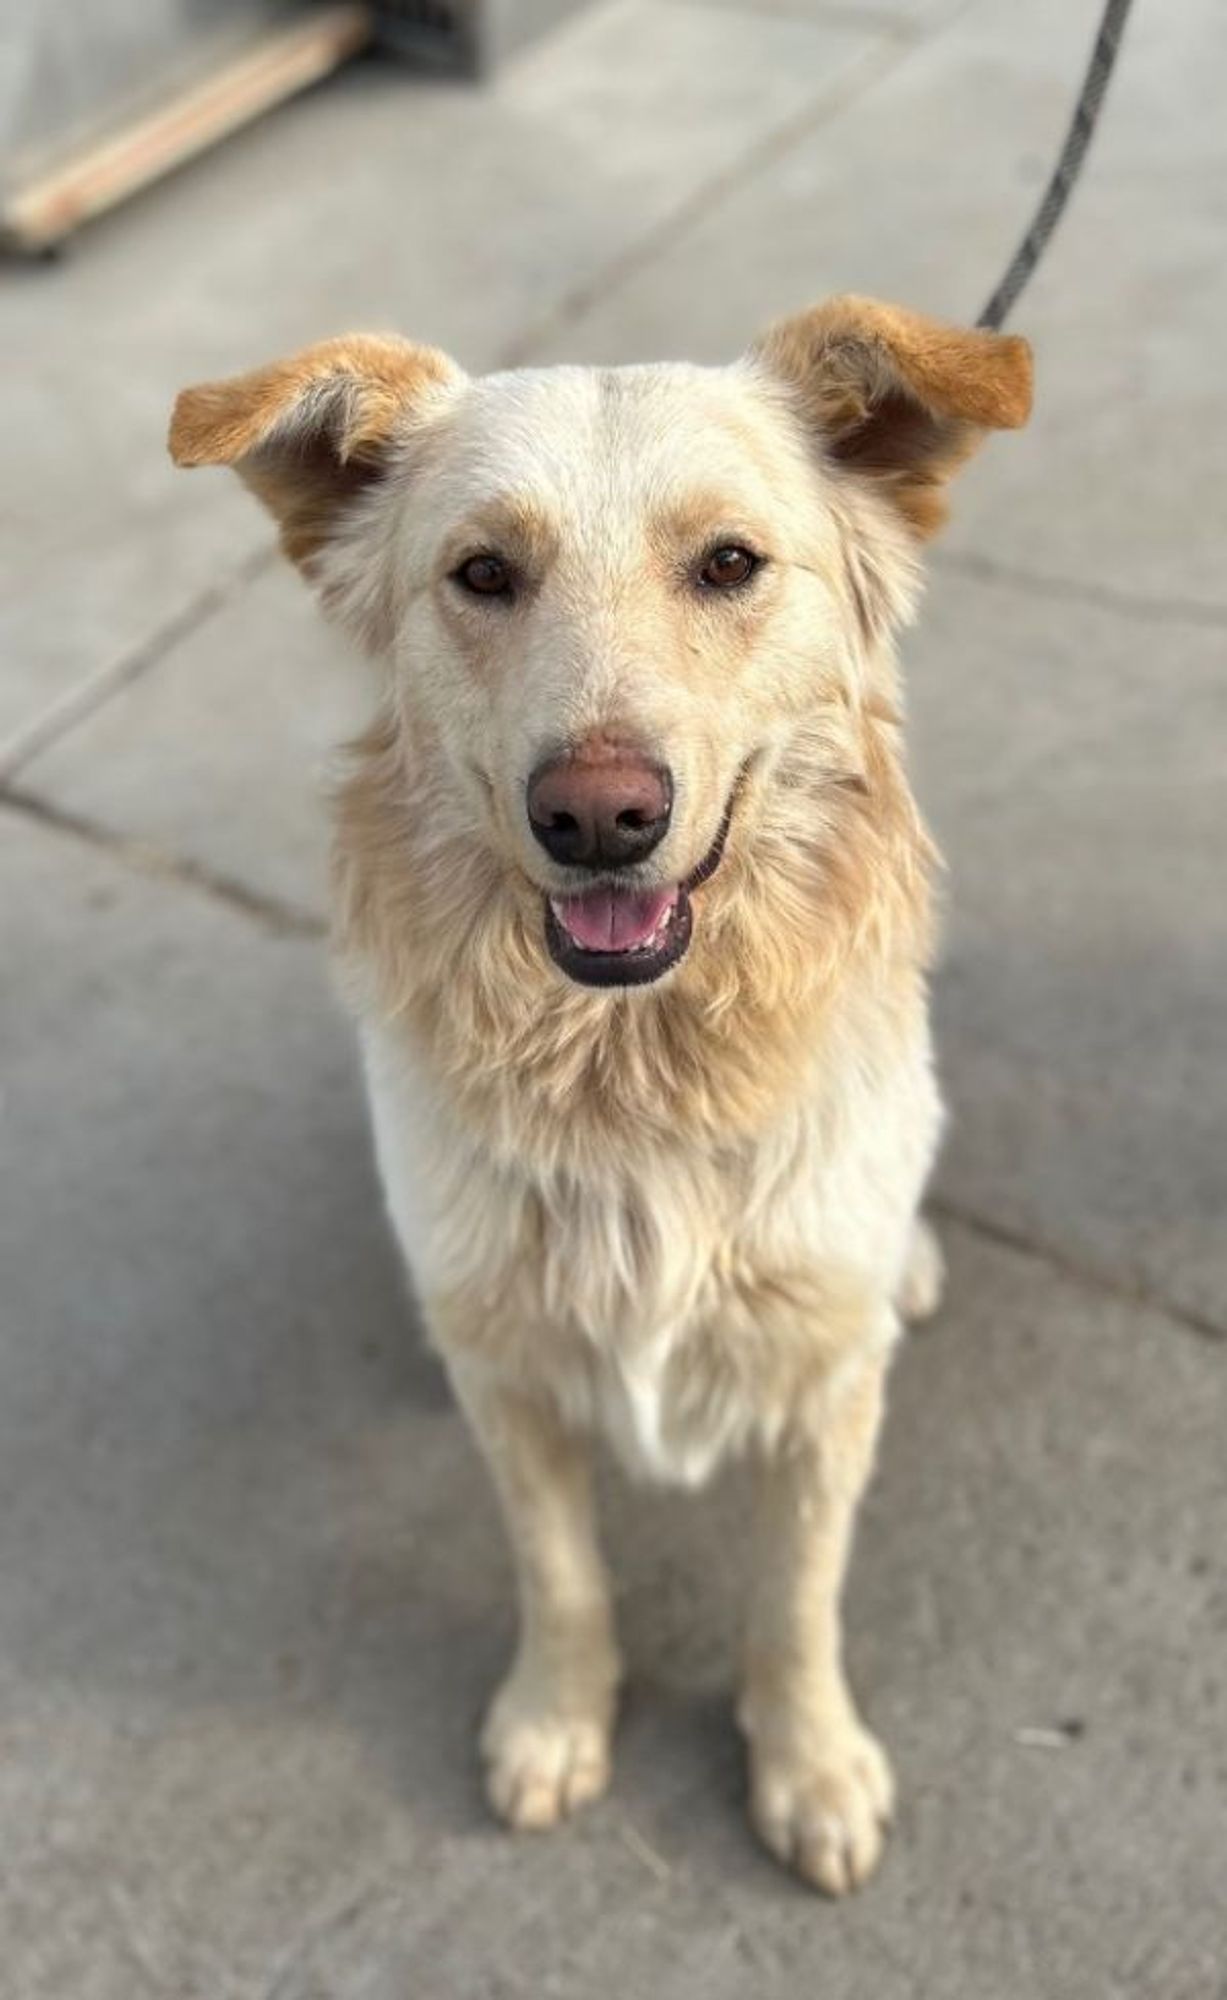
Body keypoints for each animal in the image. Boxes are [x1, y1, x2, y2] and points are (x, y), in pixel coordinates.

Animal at [167, 296, 1031, 1888]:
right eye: (481, 574)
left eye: (730, 564)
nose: (597, 817)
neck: (633, 1070)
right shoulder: (509, 1386)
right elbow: (558, 1571)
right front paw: (555, 1720)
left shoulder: (824, 1392)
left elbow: (793, 1597)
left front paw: (807, 1764)